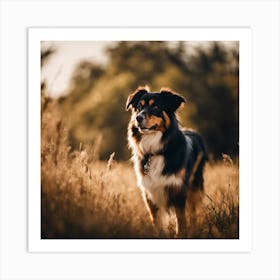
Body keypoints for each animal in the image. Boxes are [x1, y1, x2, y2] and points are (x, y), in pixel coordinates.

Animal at [127, 86, 208, 237]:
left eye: (156, 107)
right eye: (139, 107)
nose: (138, 117)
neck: (156, 151)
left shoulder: (178, 191)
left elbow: (181, 222)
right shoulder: (150, 194)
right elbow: (157, 224)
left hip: (194, 188)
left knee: (193, 213)